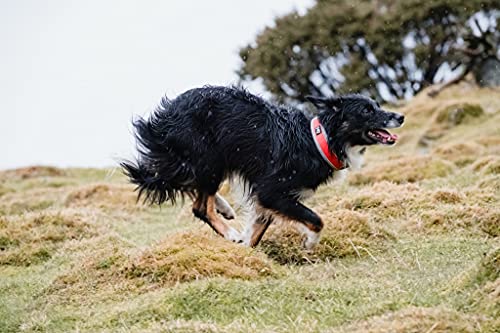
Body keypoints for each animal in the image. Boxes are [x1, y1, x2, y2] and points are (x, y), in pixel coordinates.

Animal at [122, 87, 406, 248]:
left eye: (376, 105)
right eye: (367, 110)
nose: (400, 116)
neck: (320, 140)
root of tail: (165, 118)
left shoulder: (270, 198)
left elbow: (258, 230)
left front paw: (248, 253)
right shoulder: (271, 191)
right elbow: (316, 220)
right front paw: (310, 244)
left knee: (192, 187)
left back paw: (224, 209)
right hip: (209, 158)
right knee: (200, 206)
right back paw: (229, 231)